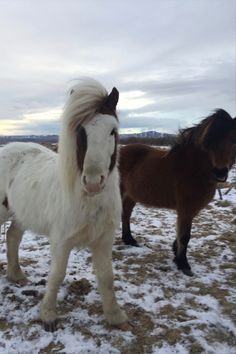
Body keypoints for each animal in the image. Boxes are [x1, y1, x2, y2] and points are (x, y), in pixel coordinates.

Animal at [0, 78, 128, 332]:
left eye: (113, 131)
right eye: (81, 131)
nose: (93, 182)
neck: (89, 201)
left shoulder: (103, 241)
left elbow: (107, 278)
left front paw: (115, 316)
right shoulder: (61, 241)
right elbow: (57, 275)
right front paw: (48, 314)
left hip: (22, 214)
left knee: (13, 237)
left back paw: (16, 275)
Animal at [119, 108, 236, 276]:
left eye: (234, 140)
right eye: (208, 143)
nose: (220, 172)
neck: (193, 168)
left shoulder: (191, 209)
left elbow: (180, 233)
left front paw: (176, 253)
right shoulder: (186, 208)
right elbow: (185, 235)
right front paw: (183, 264)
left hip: (131, 195)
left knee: (126, 214)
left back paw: (129, 240)